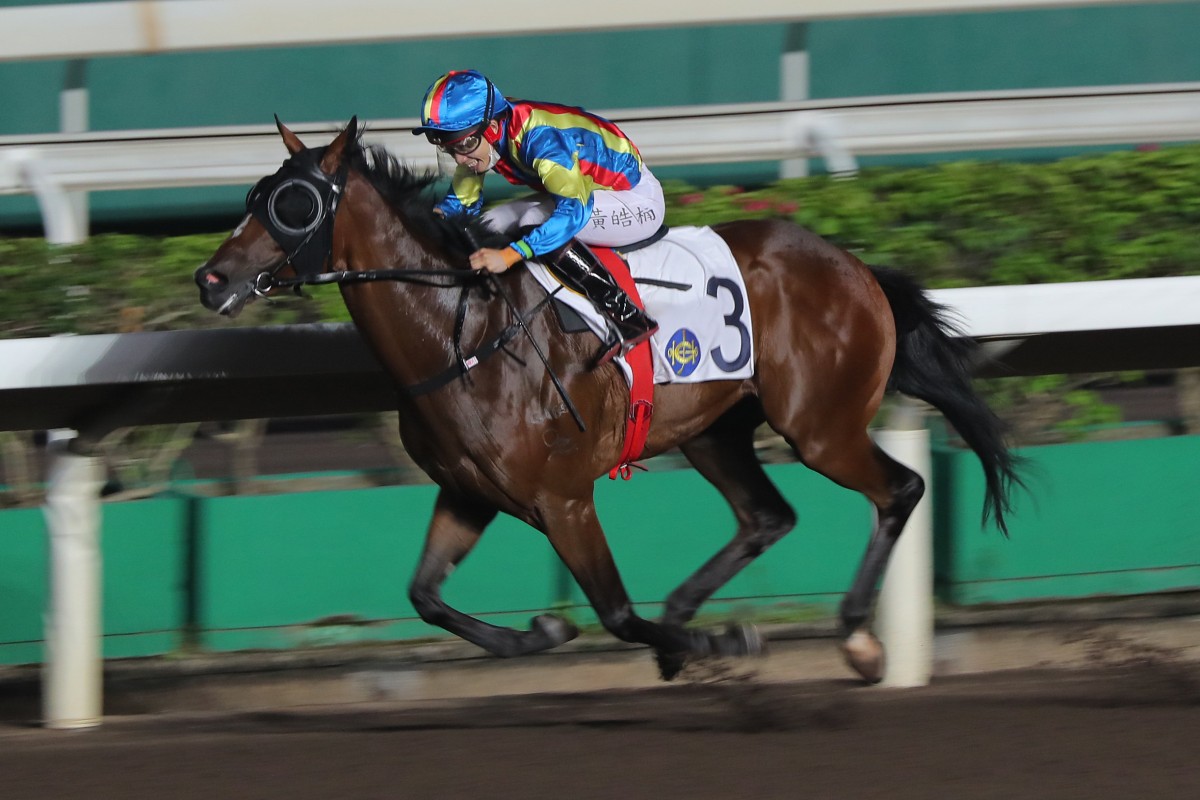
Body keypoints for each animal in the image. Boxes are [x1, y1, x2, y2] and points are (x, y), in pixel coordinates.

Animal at [196, 117, 1022, 681]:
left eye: (294, 204)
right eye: (256, 195)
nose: (210, 278)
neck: (462, 334)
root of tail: (855, 266)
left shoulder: (563, 499)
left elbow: (619, 613)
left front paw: (717, 641)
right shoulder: (469, 493)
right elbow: (425, 596)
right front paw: (544, 634)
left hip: (819, 425)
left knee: (899, 489)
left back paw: (854, 635)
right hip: (716, 430)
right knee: (768, 515)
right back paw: (694, 610)